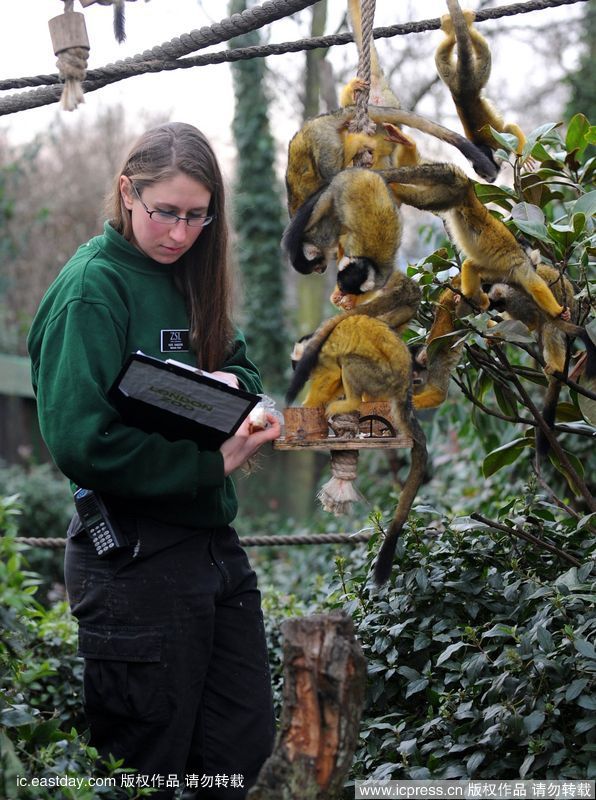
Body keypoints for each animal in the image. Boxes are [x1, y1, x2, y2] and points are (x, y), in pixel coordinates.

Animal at [434, 0, 528, 162]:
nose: (490, 176)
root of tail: (462, 89)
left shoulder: (501, 144)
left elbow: (510, 128)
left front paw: (524, 157)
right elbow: (509, 128)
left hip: (475, 77)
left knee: (482, 50)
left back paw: (462, 25)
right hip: (450, 77)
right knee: (442, 55)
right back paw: (453, 29)